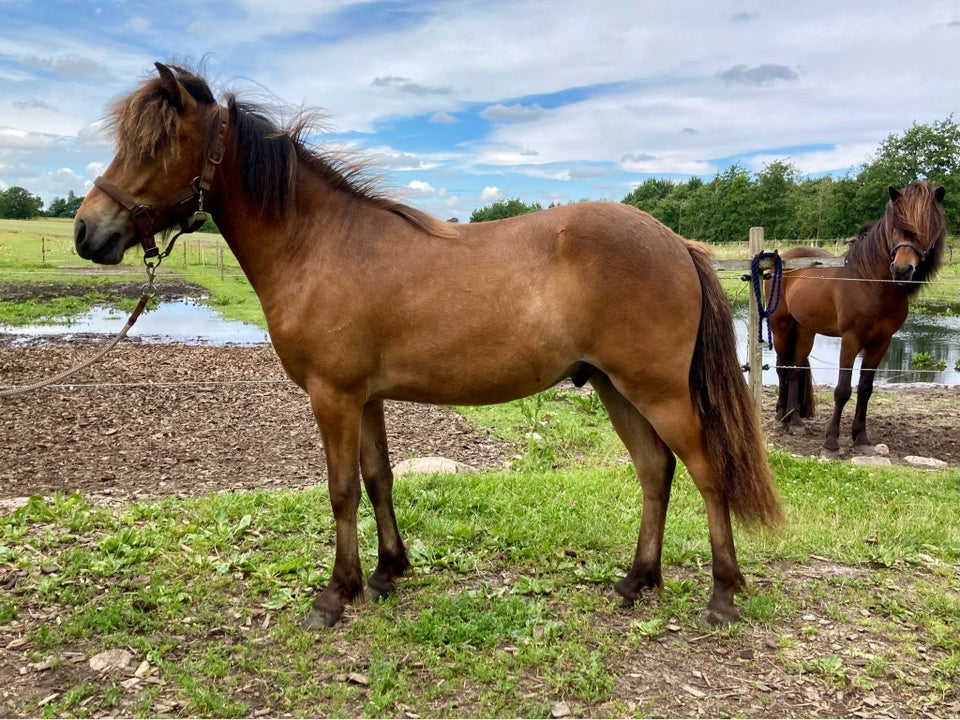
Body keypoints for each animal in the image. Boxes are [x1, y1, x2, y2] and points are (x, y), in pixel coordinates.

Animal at [73, 63, 780, 632]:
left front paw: (335, 594)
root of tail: (676, 243)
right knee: (654, 471)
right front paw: (388, 571)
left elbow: (341, 490)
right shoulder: (365, 398)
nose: (86, 233)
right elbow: (378, 479)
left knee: (705, 471)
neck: (316, 245)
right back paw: (637, 581)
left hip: (655, 390)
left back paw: (722, 594)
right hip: (614, 387)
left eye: (158, 144)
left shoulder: (333, 396)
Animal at [772, 183, 944, 458]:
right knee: (781, 368)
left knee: (796, 369)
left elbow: (865, 388)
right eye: (895, 225)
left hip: (805, 330)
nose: (902, 269)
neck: (871, 282)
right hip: (781, 325)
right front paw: (831, 444)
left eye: (926, 227)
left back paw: (795, 422)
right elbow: (843, 390)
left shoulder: (881, 342)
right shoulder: (851, 339)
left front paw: (861, 439)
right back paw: (780, 417)